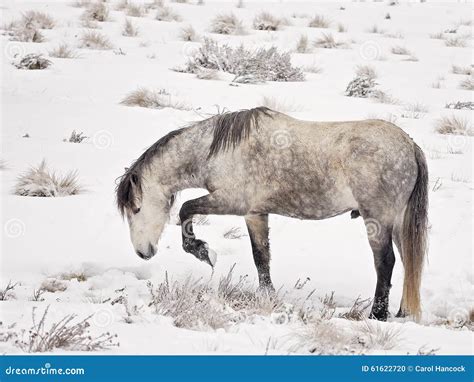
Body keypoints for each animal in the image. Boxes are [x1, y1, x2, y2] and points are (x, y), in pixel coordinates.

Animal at [116, 106, 428, 320]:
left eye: (136, 208)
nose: (142, 252)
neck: (220, 151)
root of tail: (410, 145)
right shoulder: (255, 213)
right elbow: (261, 257)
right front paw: (268, 297)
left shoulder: (232, 202)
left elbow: (185, 210)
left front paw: (202, 251)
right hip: (398, 223)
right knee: (407, 263)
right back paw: (401, 313)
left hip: (377, 220)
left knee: (385, 262)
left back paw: (377, 315)